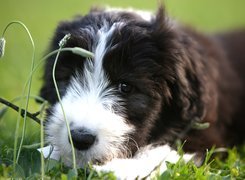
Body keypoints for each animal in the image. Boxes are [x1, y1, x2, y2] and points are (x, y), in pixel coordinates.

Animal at [39, 5, 244, 179]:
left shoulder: (205, 129)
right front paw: (52, 152)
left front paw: (122, 169)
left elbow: (172, 149)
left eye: (125, 86)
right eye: (66, 80)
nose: (80, 138)